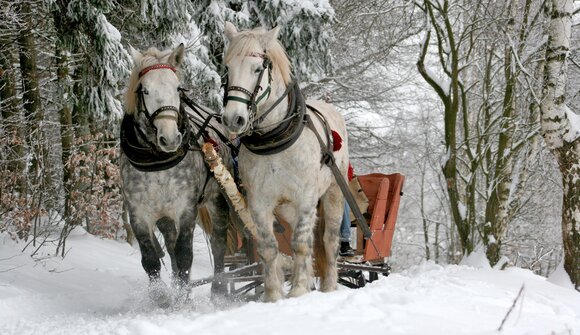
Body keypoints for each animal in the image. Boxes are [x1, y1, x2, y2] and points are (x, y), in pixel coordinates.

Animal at [222, 22, 348, 304]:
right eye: (227, 68)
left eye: (258, 68)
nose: (233, 119)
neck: (275, 137)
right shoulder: (259, 202)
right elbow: (269, 248)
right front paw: (273, 295)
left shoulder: (306, 198)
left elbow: (300, 244)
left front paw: (299, 289)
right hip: (288, 208)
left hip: (333, 193)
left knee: (329, 240)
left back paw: (328, 285)